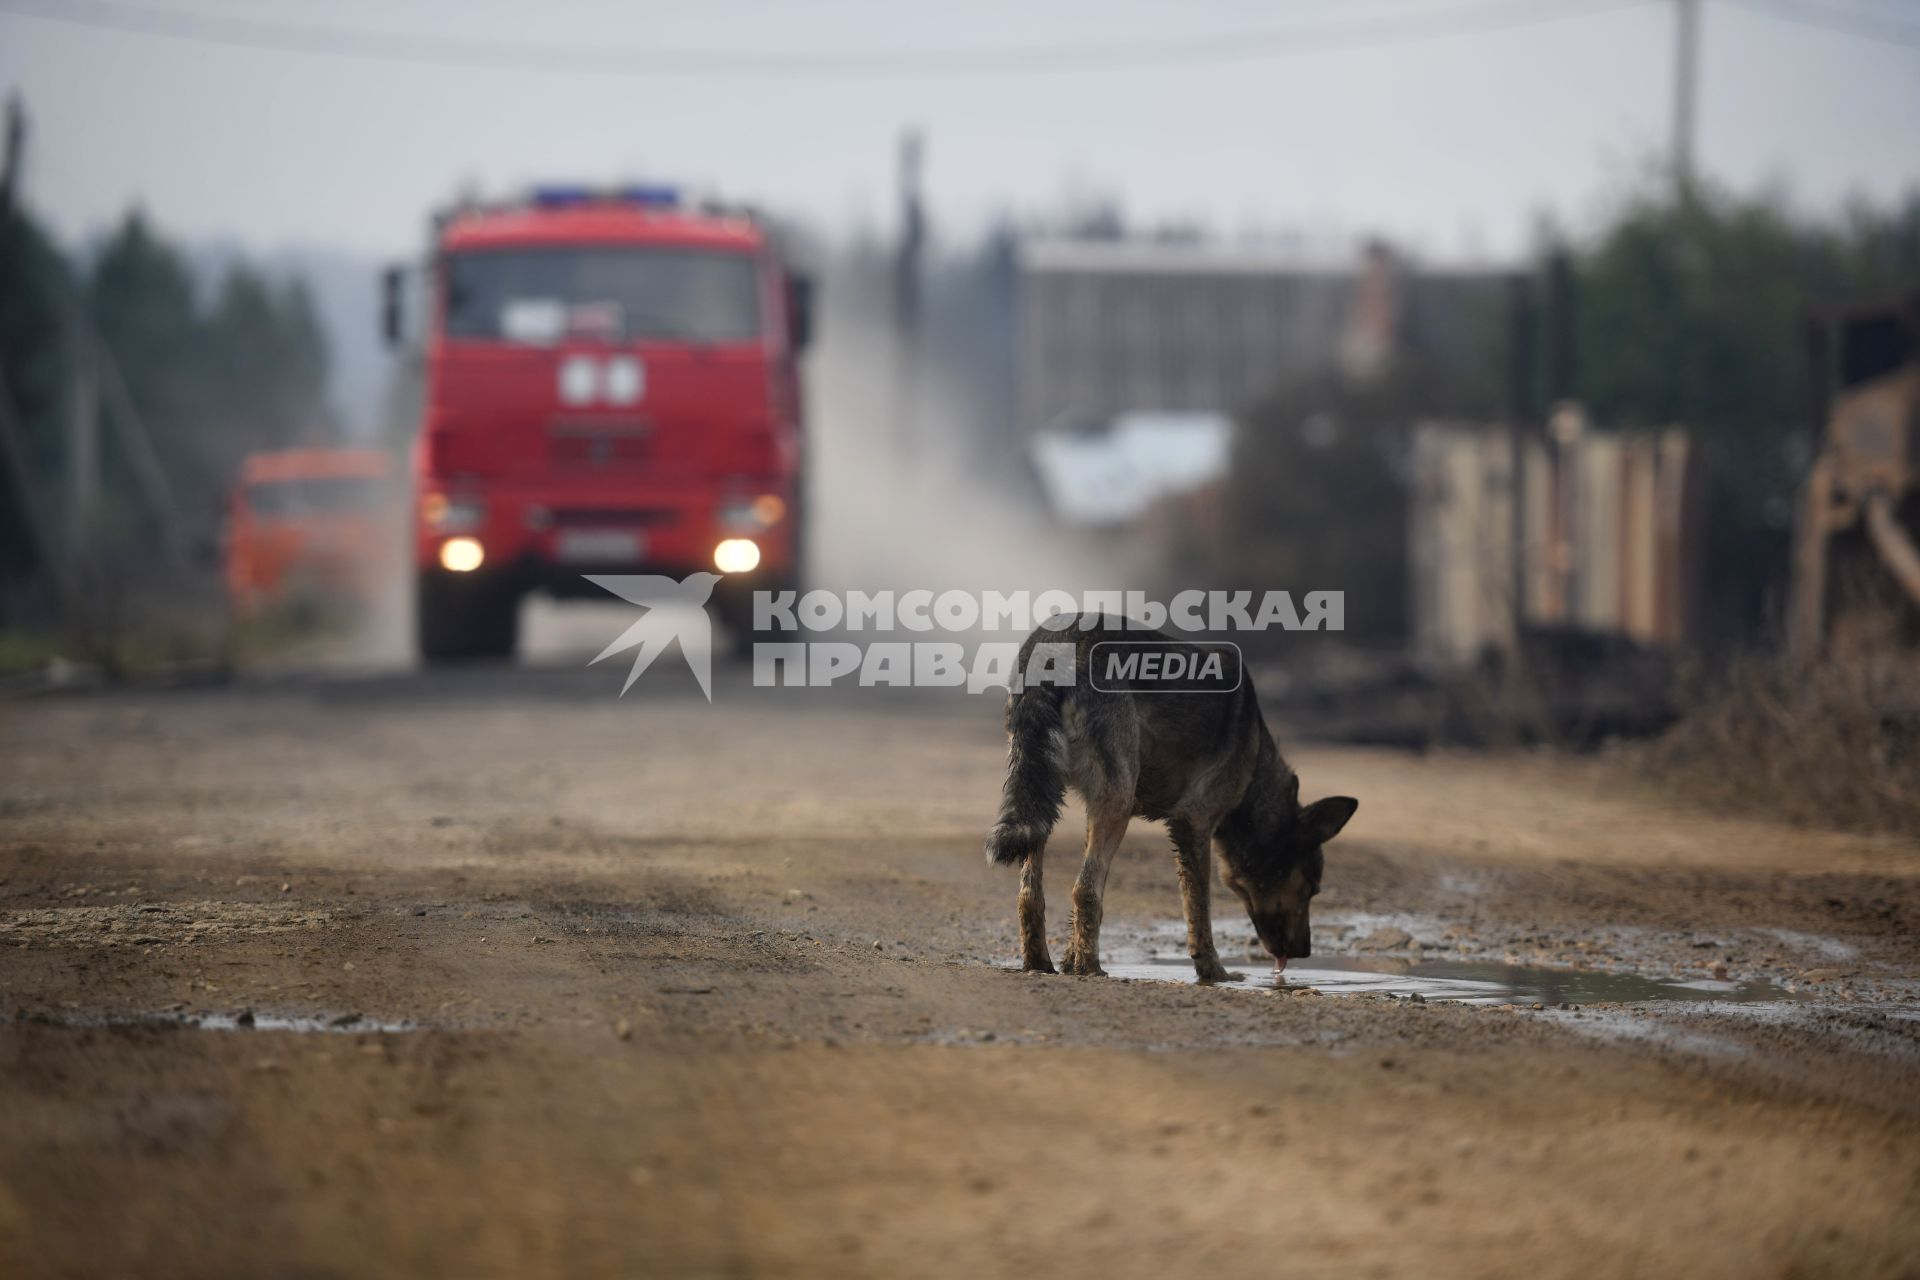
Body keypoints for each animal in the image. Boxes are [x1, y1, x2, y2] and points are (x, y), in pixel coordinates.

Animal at [990, 614, 1351, 990]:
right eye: (1312, 888)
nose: (1305, 952)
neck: (1255, 769)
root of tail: (1053, 647)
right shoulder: (1194, 826)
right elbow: (1199, 910)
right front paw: (1215, 973)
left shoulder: (1096, 814)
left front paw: (1068, 960)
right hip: (1116, 804)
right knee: (1085, 889)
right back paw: (1092, 968)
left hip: (1043, 799)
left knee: (1031, 894)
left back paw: (1040, 963)